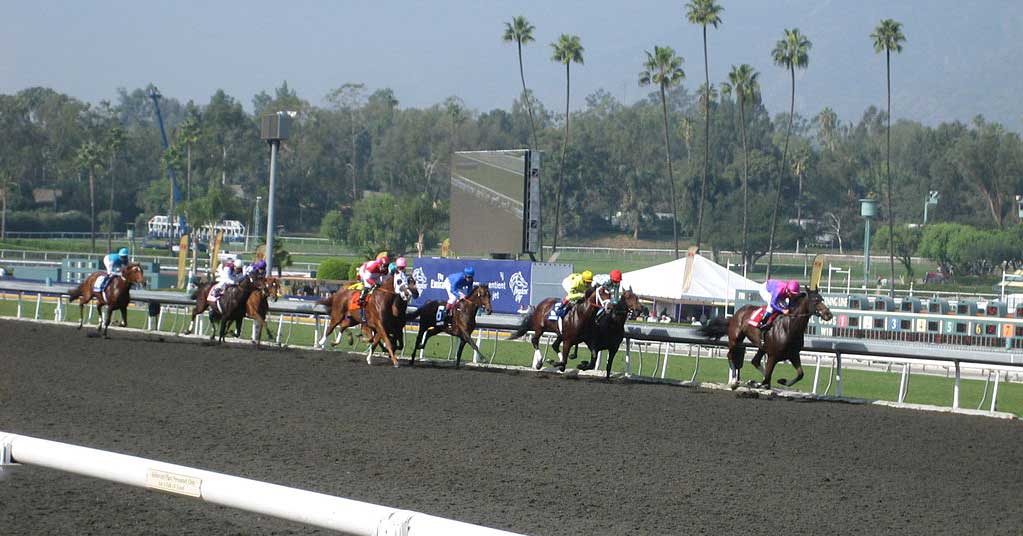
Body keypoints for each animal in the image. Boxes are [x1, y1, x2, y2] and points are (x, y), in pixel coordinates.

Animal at [699, 290, 834, 386]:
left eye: (822, 299)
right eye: (815, 300)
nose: (828, 314)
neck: (789, 327)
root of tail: (735, 314)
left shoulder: (794, 354)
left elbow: (800, 374)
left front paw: (782, 381)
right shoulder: (773, 356)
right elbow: (767, 376)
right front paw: (756, 382)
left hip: (761, 346)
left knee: (755, 361)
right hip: (735, 339)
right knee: (730, 355)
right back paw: (734, 381)